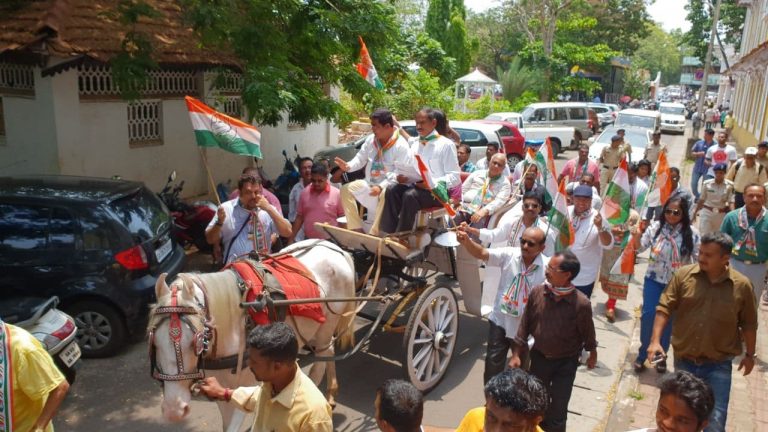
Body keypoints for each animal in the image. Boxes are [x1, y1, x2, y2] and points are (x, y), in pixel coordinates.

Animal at [150, 240, 360, 428]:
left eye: (197, 342)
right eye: (154, 343)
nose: (174, 410)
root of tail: (336, 249)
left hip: (326, 327)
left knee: (321, 360)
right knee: (329, 351)